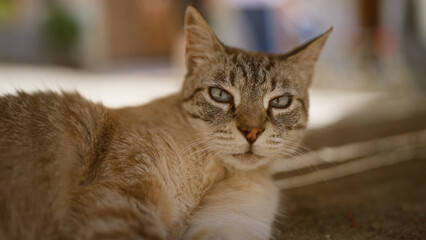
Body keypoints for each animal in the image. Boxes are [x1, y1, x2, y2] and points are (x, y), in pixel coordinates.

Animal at [0, 5, 330, 240]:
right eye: (220, 95)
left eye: (280, 102)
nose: (251, 132)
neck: (216, 173)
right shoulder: (117, 202)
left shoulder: (227, 225)